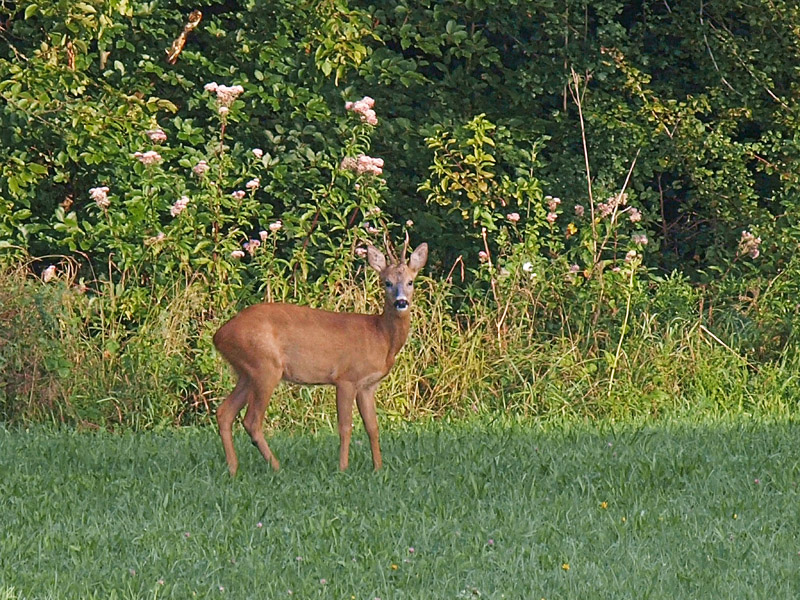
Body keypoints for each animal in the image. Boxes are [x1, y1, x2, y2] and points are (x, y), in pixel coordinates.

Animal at [209, 241, 428, 476]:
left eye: (410, 281)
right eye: (387, 282)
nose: (401, 302)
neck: (381, 336)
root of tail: (219, 335)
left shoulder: (367, 385)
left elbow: (372, 427)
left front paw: (378, 468)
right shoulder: (346, 378)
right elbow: (345, 426)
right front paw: (343, 468)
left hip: (246, 372)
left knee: (224, 412)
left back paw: (233, 469)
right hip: (264, 367)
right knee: (251, 420)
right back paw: (277, 467)